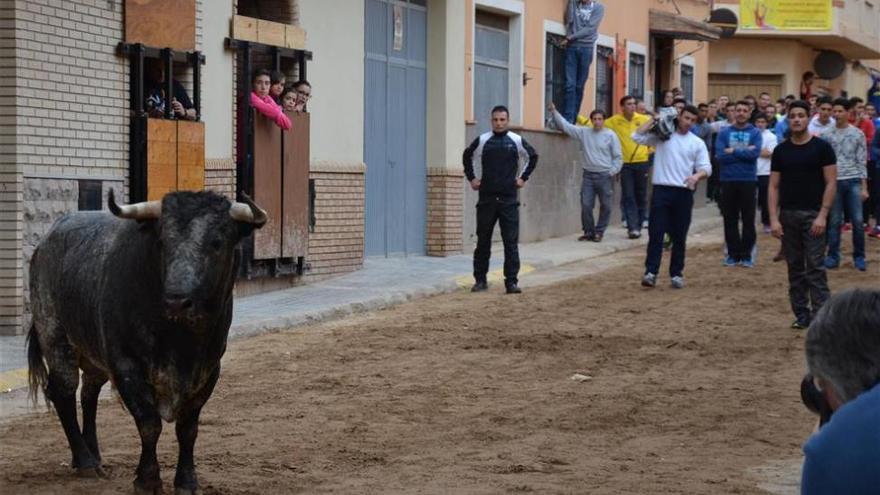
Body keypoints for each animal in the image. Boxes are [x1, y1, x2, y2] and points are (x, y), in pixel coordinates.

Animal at [27, 191, 268, 495]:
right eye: (163, 241)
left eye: (217, 242)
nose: (177, 300)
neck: (180, 338)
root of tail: (47, 240)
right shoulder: (126, 365)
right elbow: (149, 423)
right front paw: (147, 480)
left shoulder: (209, 369)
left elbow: (188, 429)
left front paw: (187, 481)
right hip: (55, 336)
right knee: (64, 392)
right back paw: (85, 461)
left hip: (94, 355)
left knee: (89, 393)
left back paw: (94, 453)